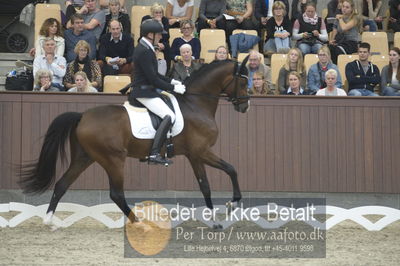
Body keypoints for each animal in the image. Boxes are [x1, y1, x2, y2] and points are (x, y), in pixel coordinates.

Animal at [19, 56, 250, 227]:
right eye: (243, 81)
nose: (245, 106)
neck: (195, 103)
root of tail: (82, 116)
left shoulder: (197, 154)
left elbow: (227, 172)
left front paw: (229, 206)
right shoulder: (199, 152)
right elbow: (213, 181)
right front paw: (225, 210)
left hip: (85, 157)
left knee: (62, 184)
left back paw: (48, 221)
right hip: (113, 159)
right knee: (116, 194)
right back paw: (139, 222)